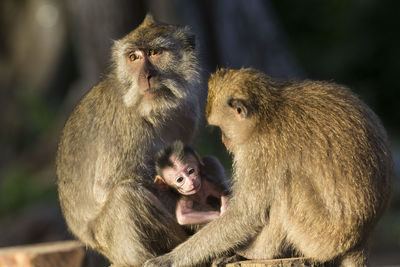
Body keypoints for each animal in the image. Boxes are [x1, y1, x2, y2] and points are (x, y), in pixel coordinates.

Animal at [55, 15, 205, 267]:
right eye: (133, 57)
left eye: (154, 52)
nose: (146, 76)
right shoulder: (126, 126)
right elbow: (106, 188)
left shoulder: (187, 114)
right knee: (125, 196)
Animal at [145, 67, 394, 267]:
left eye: (222, 128)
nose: (225, 140)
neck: (267, 112)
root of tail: (361, 239)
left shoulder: (259, 151)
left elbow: (246, 214)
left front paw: (169, 259)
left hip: (320, 237)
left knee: (285, 186)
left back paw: (259, 253)